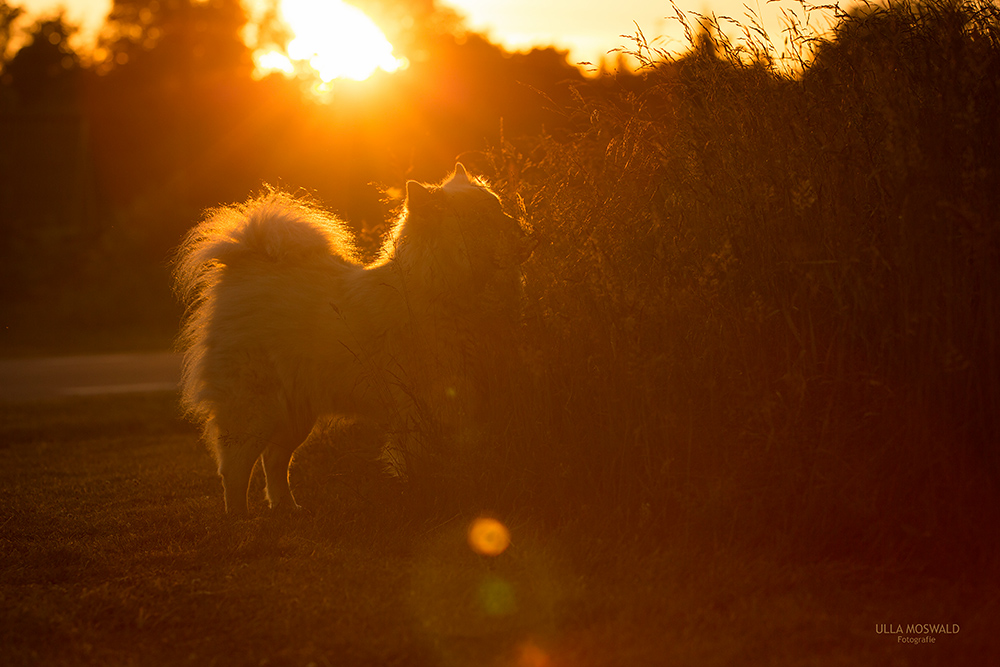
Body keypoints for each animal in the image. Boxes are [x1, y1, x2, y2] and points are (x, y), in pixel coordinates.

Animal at [174, 166, 532, 516]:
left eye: (498, 208)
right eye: (481, 219)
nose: (525, 231)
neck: (440, 289)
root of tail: (245, 267)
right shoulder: (425, 403)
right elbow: (422, 457)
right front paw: (427, 495)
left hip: (296, 414)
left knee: (274, 461)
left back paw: (288, 508)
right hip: (254, 409)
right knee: (235, 467)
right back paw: (238, 516)